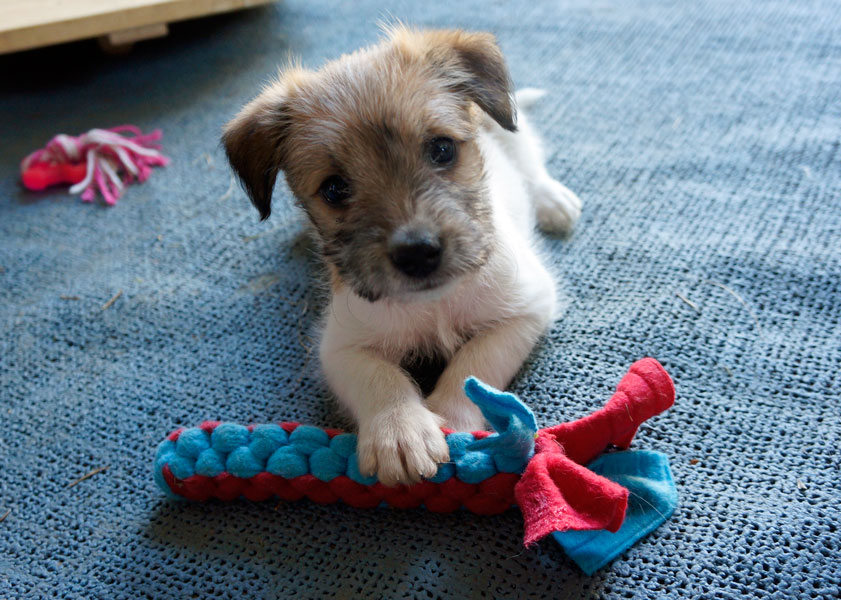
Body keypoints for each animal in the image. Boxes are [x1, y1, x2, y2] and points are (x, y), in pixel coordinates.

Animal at [223, 26, 581, 486]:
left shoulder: (526, 308)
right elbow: (380, 376)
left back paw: (553, 200)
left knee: (530, 160)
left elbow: (474, 364)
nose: (417, 253)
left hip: (510, 132)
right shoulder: (340, 346)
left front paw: (452, 418)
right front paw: (398, 432)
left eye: (442, 149)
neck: (434, 304)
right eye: (334, 189)